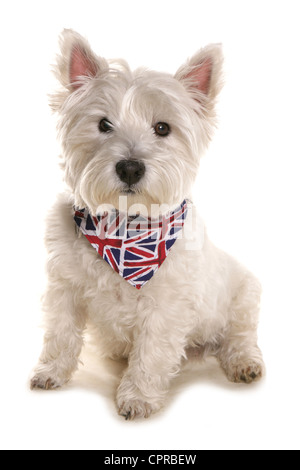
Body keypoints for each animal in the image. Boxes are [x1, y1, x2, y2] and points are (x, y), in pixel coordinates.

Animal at [30, 29, 264, 418]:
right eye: (103, 124)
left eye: (162, 128)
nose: (130, 167)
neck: (125, 234)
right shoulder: (65, 287)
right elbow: (61, 332)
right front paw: (51, 372)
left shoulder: (165, 306)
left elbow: (151, 352)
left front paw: (137, 397)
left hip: (243, 293)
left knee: (239, 336)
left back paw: (244, 363)